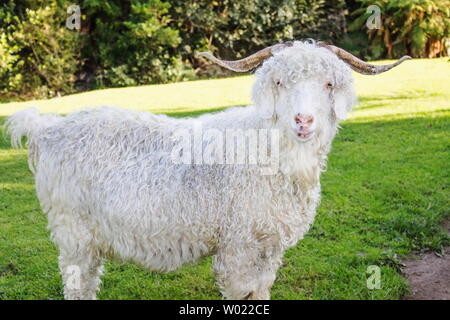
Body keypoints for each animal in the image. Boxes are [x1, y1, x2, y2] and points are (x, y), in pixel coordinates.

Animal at [5, 40, 410, 300]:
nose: (303, 120)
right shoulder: (237, 244)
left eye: (328, 83)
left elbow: (261, 291)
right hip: (74, 230)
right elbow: (240, 292)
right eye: (280, 82)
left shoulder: (269, 247)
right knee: (78, 284)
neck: (267, 150)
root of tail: (47, 128)